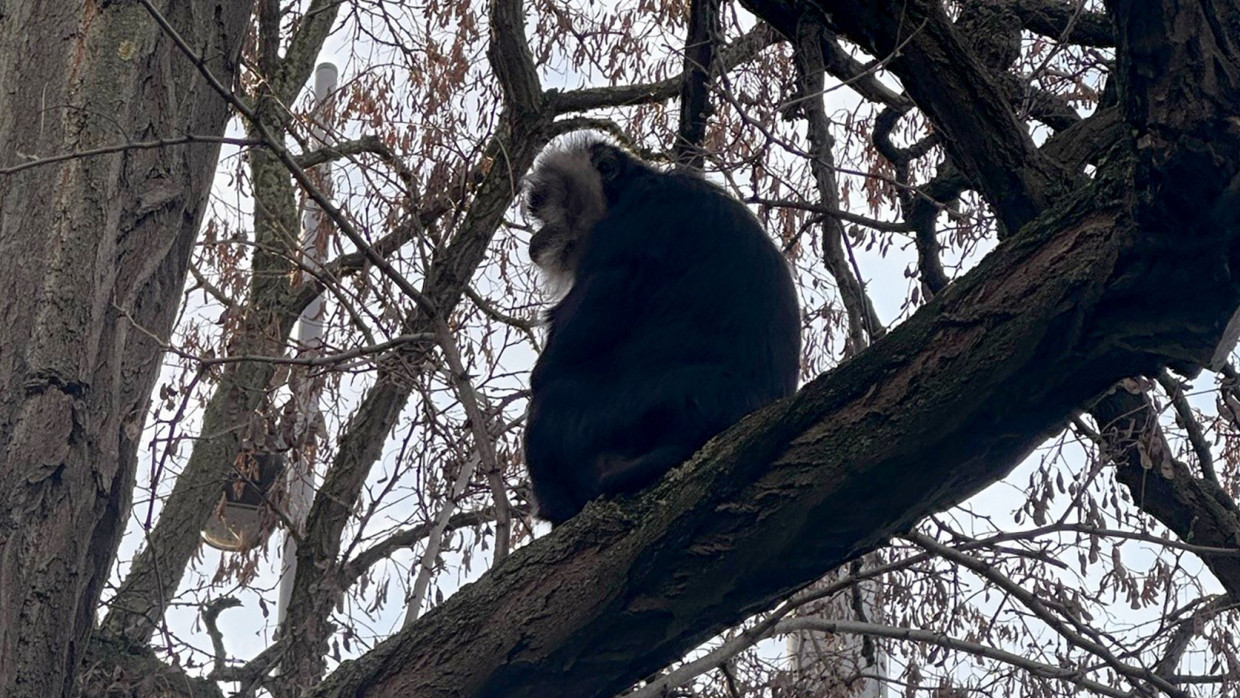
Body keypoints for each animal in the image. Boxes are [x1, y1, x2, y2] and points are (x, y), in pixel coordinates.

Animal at [520, 132, 793, 525]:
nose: (538, 236)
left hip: (623, 414)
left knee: (550, 405)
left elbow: (555, 364)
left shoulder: (626, 229)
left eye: (543, 203)